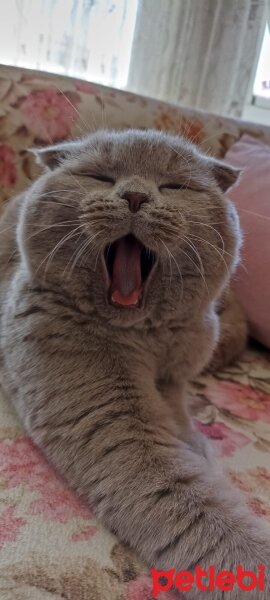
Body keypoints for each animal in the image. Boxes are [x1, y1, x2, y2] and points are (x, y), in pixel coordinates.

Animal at [0, 129, 268, 596]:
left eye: (175, 186)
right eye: (100, 177)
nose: (136, 196)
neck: (148, 341)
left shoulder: (179, 373)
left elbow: (179, 411)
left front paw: (195, 442)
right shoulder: (113, 420)